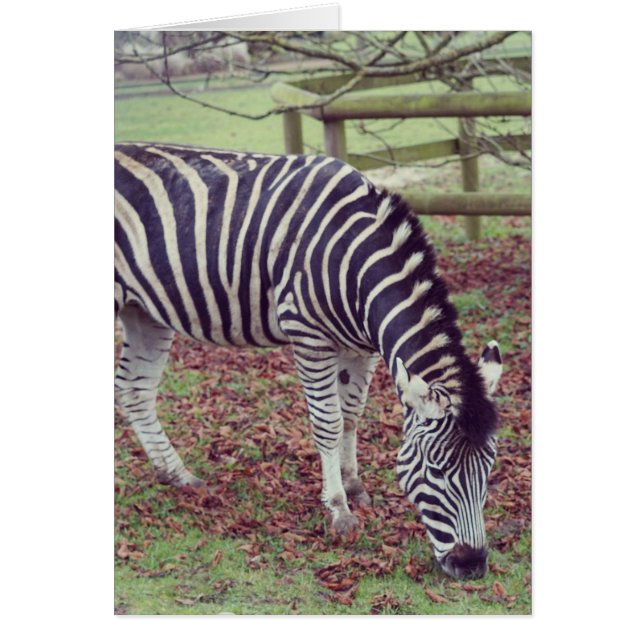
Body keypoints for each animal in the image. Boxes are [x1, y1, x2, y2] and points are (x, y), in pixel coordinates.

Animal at [114, 142, 504, 579]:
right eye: (437, 471)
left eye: (489, 468)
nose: (472, 566)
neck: (353, 261)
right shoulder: (309, 337)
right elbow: (329, 425)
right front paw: (338, 509)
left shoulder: (362, 347)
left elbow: (351, 417)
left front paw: (354, 486)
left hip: (144, 310)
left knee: (135, 390)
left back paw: (178, 475)